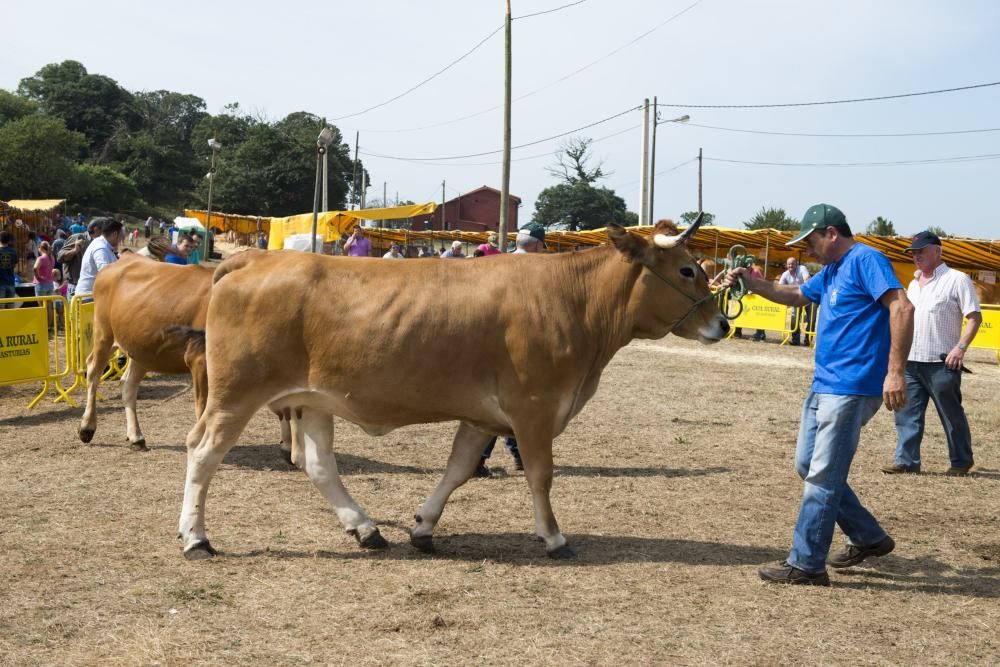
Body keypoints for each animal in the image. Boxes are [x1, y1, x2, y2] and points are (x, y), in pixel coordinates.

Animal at [178, 217, 728, 560]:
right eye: (686, 269)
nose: (723, 322)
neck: (573, 299)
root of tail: (252, 260)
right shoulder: (533, 409)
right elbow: (540, 475)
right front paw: (553, 537)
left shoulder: (484, 415)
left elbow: (458, 469)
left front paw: (423, 526)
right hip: (235, 393)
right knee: (203, 452)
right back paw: (195, 538)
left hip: (313, 399)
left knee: (318, 465)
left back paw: (366, 528)